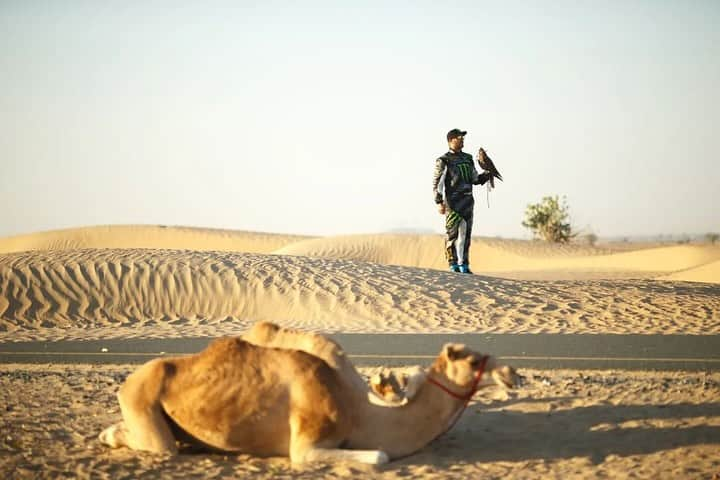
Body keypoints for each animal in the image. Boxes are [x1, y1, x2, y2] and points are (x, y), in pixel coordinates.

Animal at [100, 322, 516, 464]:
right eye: (469, 357)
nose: (511, 373)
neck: (358, 411)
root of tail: (129, 380)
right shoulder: (306, 444)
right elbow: (380, 456)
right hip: (142, 402)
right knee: (157, 445)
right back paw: (110, 434)